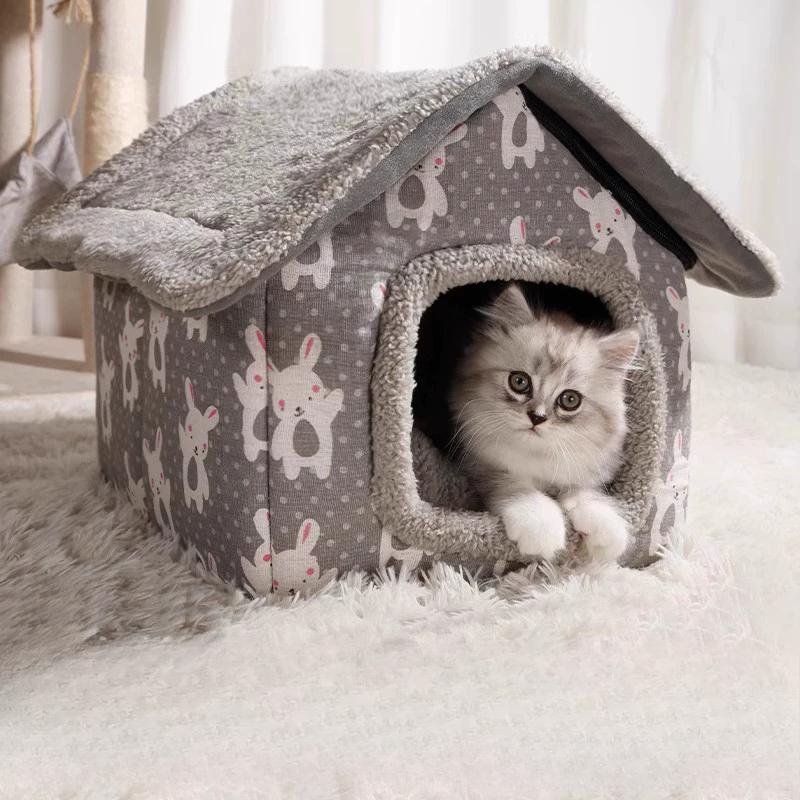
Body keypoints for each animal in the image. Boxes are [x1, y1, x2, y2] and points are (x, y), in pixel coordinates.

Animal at [268, 333, 344, 481]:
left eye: (311, 394)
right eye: (281, 404)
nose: (298, 408)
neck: (302, 419)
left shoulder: (321, 415)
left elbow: (329, 406)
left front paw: (337, 394)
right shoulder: (284, 426)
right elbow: (278, 437)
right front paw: (275, 454)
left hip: (323, 458)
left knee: (322, 465)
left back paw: (322, 474)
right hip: (291, 460)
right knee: (291, 467)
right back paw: (292, 476)